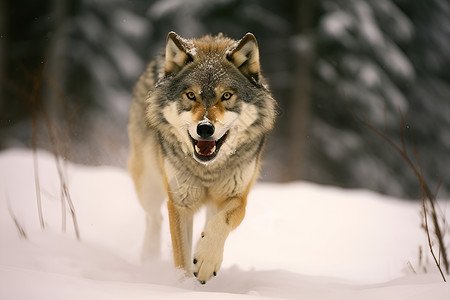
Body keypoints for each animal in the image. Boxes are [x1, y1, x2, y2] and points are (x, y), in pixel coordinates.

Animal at [127, 31, 278, 284]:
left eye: (226, 95)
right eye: (191, 95)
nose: (205, 128)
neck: (208, 170)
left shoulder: (237, 197)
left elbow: (220, 222)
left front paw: (206, 260)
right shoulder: (180, 202)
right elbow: (181, 257)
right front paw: (184, 284)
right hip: (148, 184)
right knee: (154, 218)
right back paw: (149, 258)